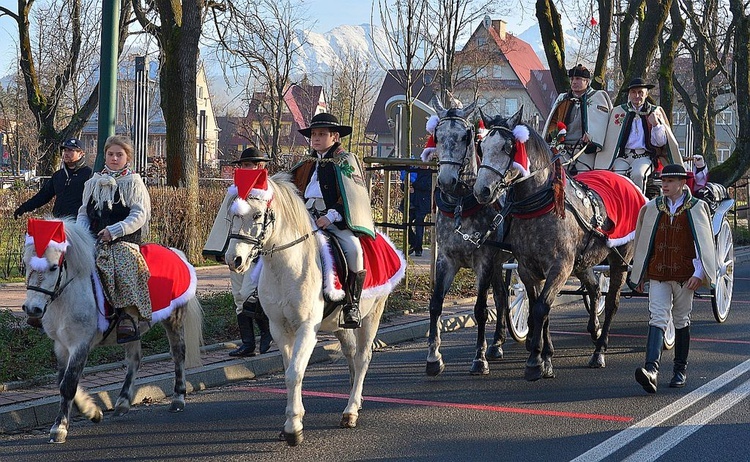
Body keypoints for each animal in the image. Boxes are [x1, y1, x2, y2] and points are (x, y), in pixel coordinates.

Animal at [22, 219, 204, 444]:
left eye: (54, 267)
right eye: (26, 264)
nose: (32, 309)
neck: (66, 298)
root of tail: (175, 252)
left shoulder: (80, 344)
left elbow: (68, 383)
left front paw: (60, 427)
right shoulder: (61, 346)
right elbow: (62, 381)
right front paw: (92, 411)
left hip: (173, 319)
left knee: (178, 354)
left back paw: (178, 398)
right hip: (133, 330)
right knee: (135, 359)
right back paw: (123, 403)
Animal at [225, 171, 406, 446]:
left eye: (256, 215)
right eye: (233, 215)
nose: (234, 260)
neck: (286, 267)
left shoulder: (307, 329)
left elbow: (295, 373)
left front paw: (293, 428)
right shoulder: (279, 329)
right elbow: (291, 371)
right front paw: (294, 420)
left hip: (372, 315)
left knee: (362, 358)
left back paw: (351, 411)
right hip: (341, 326)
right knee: (351, 355)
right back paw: (356, 400)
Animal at [428, 97, 516, 376]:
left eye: (466, 136)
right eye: (437, 135)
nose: (446, 180)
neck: (460, 204)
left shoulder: (484, 261)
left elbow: (480, 309)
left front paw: (479, 359)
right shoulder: (446, 259)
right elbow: (436, 304)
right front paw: (434, 357)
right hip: (500, 263)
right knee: (502, 296)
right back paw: (497, 343)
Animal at [476, 110, 636, 380]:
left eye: (508, 147)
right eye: (482, 147)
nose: (482, 190)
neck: (542, 204)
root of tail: (624, 178)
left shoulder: (559, 267)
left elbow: (541, 308)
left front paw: (535, 360)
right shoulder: (528, 269)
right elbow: (539, 308)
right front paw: (545, 357)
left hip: (620, 260)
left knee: (612, 302)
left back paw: (600, 350)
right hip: (583, 263)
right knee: (595, 289)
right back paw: (593, 329)